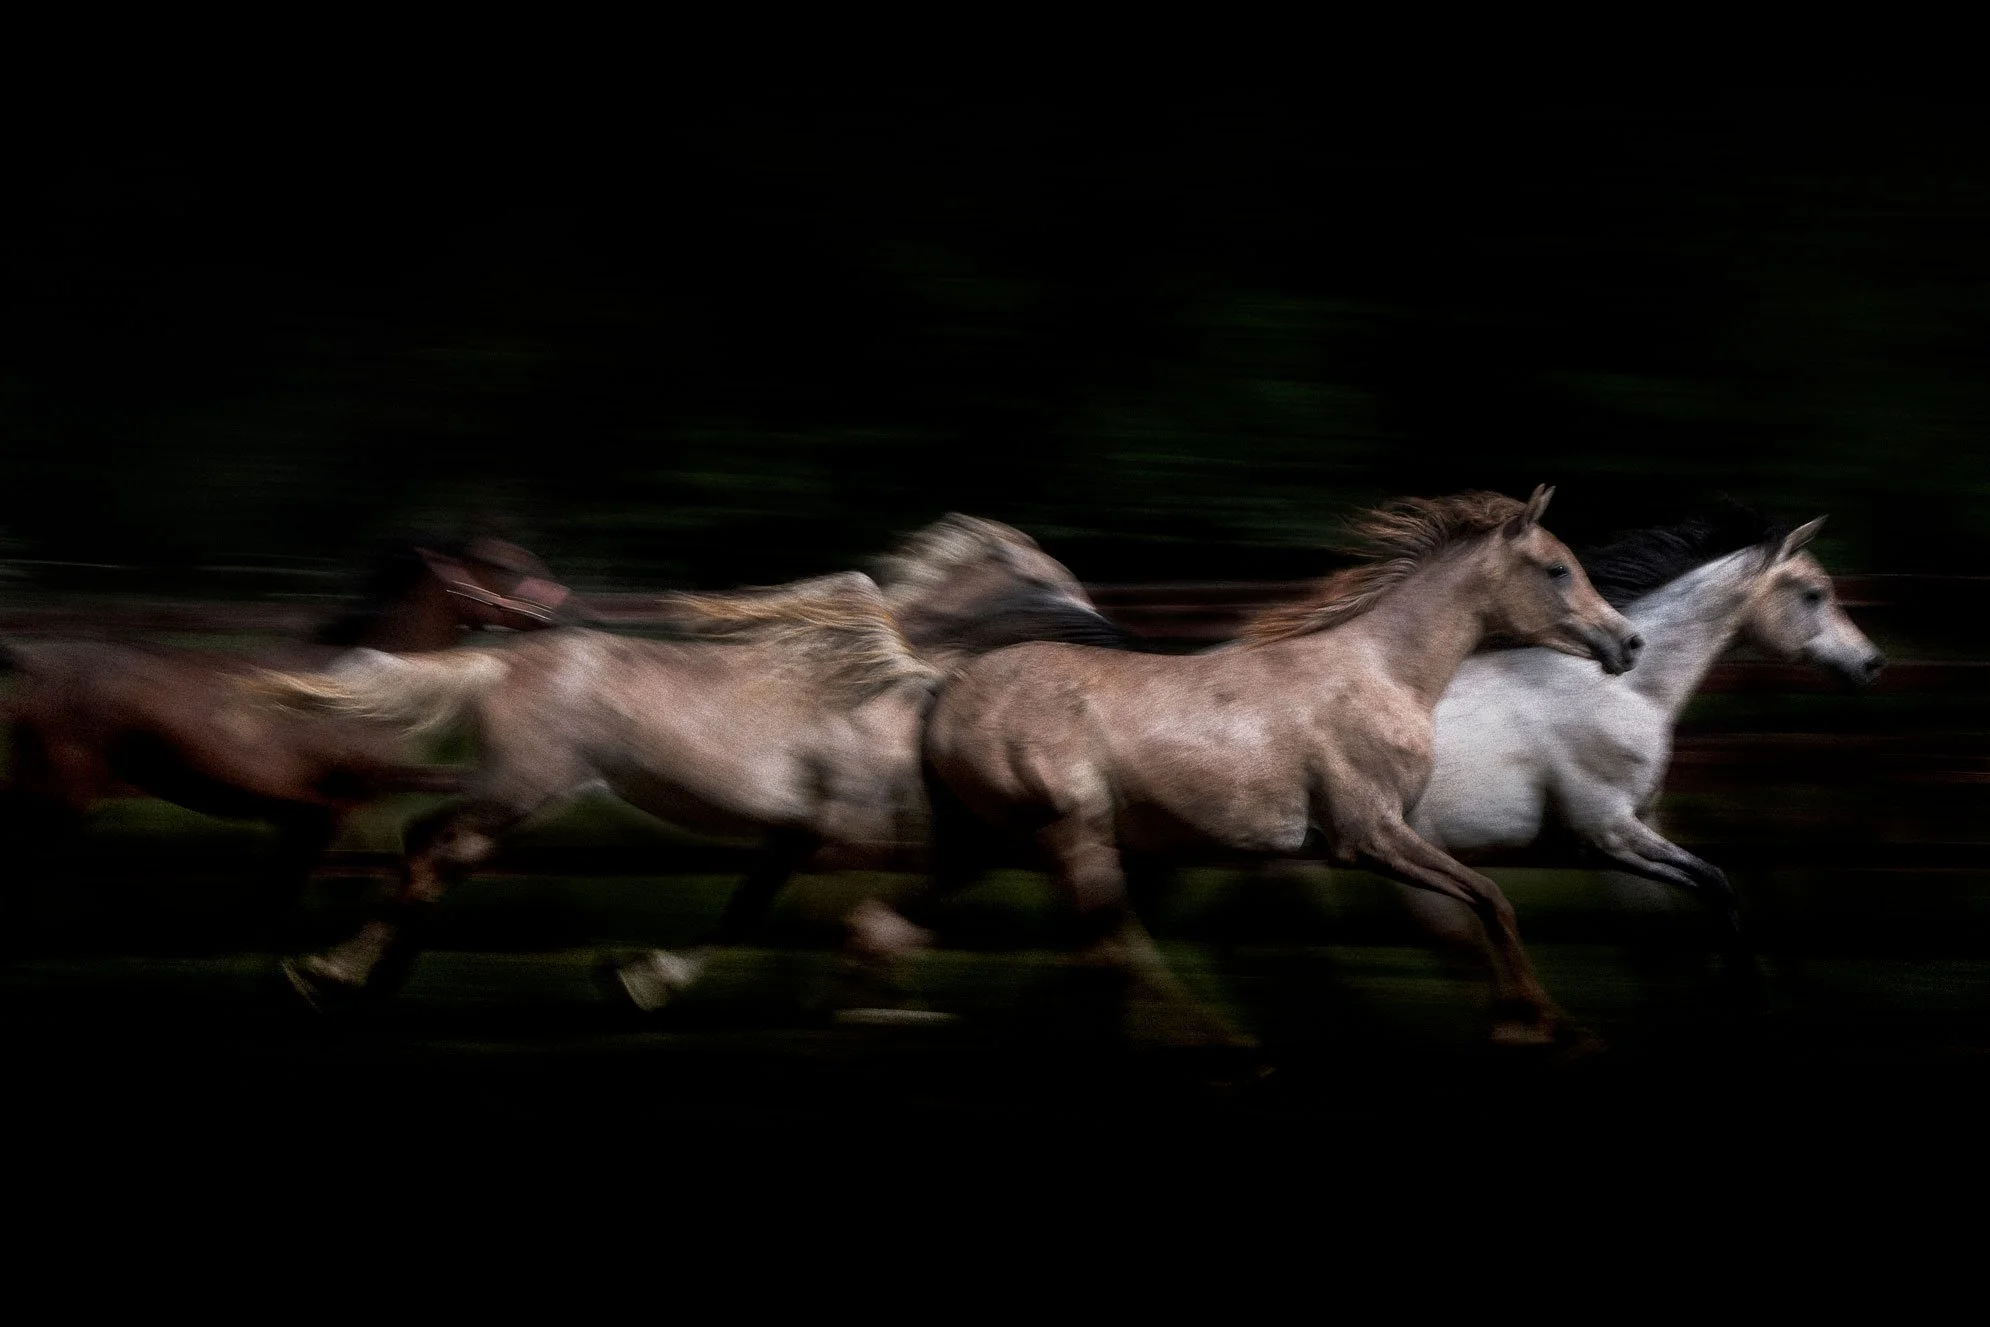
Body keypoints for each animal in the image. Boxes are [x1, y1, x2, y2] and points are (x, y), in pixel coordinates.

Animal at [0, 534, 572, 948]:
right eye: (501, 564)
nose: (563, 610)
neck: (365, 692)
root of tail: (32, 659)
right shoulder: (341, 800)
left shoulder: (313, 813)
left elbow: (284, 891)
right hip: (59, 795)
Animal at [248, 515, 1137, 1010]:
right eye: (1044, 576)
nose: (1112, 633)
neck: (890, 692)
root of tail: (500, 659)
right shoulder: (849, 833)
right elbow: (818, 913)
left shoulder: (797, 833)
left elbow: (746, 911)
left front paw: (640, 979)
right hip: (520, 786)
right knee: (434, 852)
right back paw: (327, 972)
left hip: (522, 792)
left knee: (435, 851)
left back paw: (368, 975)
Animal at [852, 487, 1644, 1050]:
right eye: (1557, 568)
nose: (1628, 642)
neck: (1381, 673)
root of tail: (945, 688)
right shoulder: (1368, 838)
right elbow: (1492, 899)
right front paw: (1540, 1025)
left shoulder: (1397, 836)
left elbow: (1465, 918)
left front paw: (1548, 1025)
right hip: (1072, 830)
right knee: (1113, 951)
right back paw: (1224, 1048)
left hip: (983, 845)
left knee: (889, 927)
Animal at [1396, 507, 1883, 980]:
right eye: (1814, 594)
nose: (1872, 663)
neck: (1626, 692)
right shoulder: (1608, 831)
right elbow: (1715, 883)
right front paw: (1741, 975)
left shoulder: (1625, 836)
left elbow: (1672, 913)